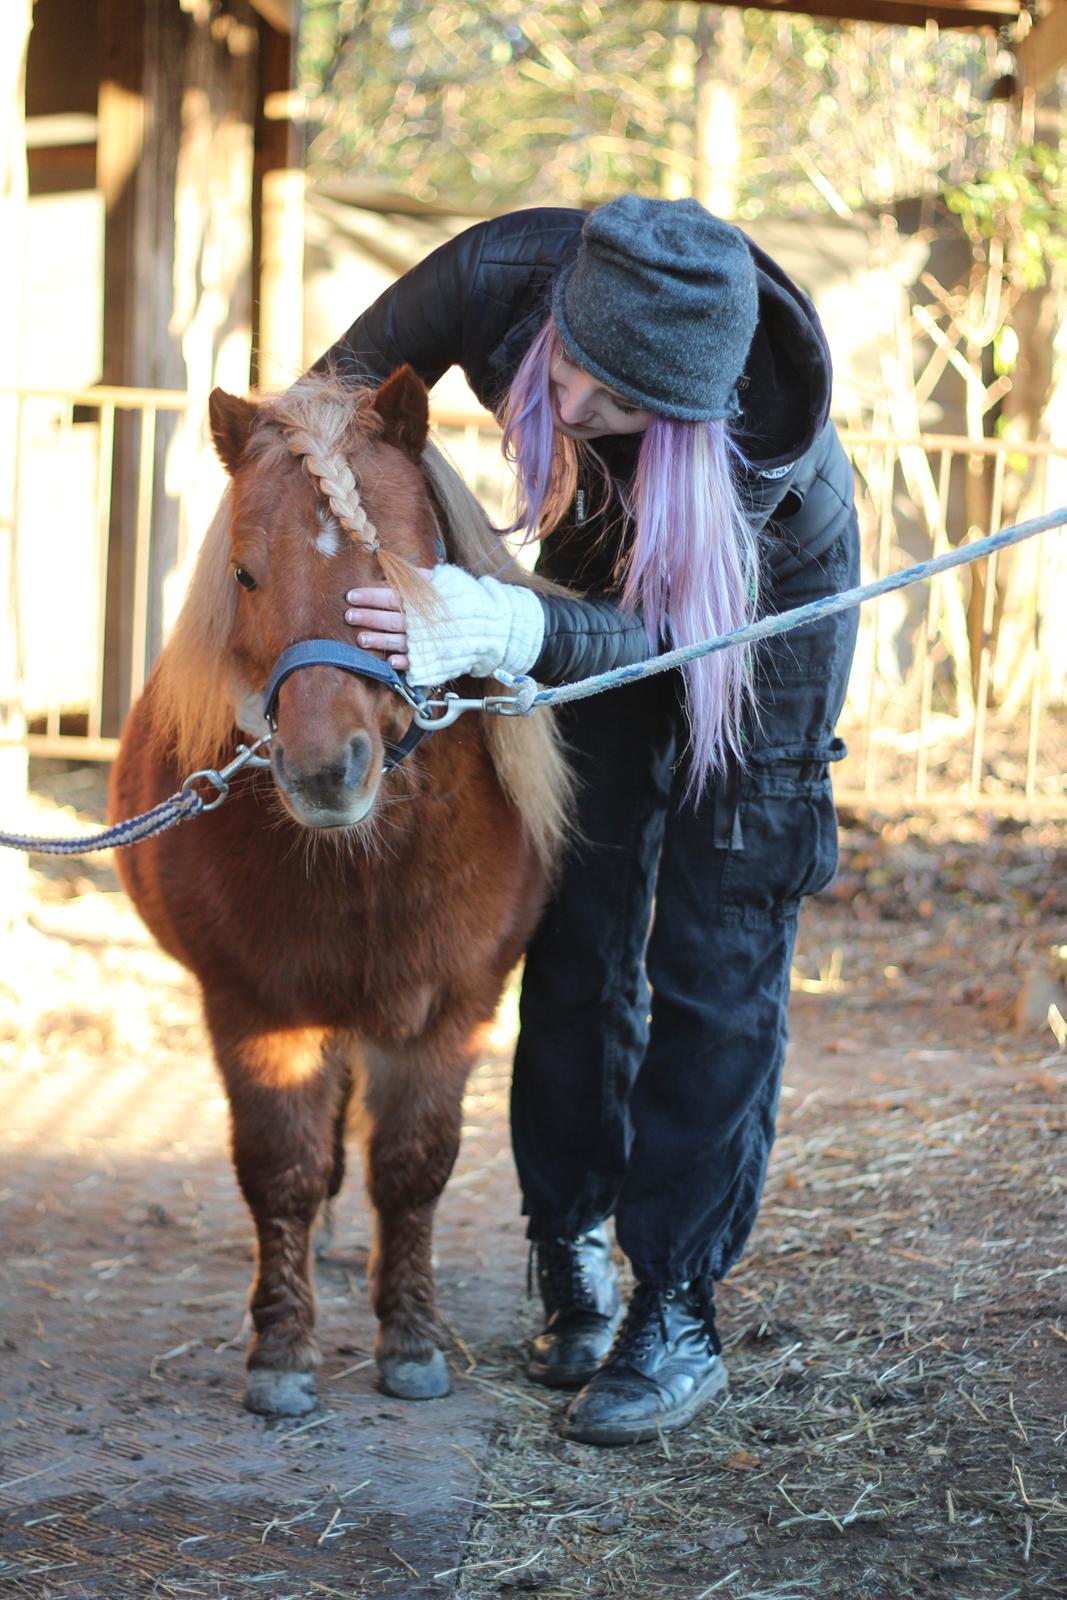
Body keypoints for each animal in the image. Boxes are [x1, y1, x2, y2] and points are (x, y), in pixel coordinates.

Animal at [111, 368, 572, 1420]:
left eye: (400, 571)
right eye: (243, 574)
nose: (326, 771)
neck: (365, 863)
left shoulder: (453, 1008)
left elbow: (412, 1169)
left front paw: (410, 1341)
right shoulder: (256, 1009)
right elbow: (281, 1170)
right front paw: (281, 1353)